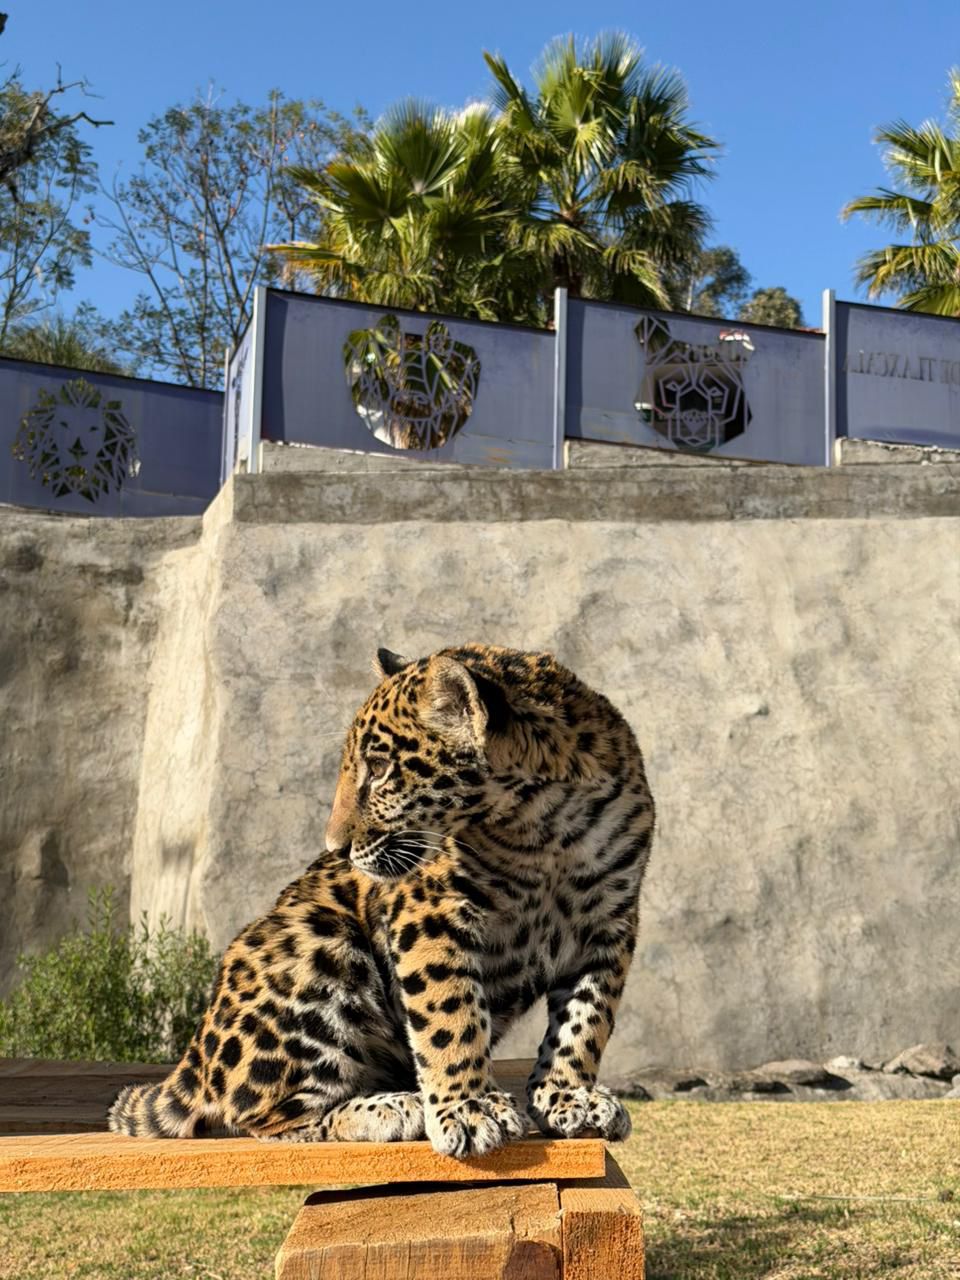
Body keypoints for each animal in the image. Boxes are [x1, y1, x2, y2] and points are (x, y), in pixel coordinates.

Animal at [109, 643, 655, 1157]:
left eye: (378, 769)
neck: (544, 830)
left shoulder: (610, 924)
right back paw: (399, 1109)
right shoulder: (432, 911)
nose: (334, 847)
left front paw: (569, 1097)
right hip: (315, 937)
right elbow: (451, 1014)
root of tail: (194, 1061)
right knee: (267, 1117)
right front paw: (469, 1107)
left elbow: (585, 1021)